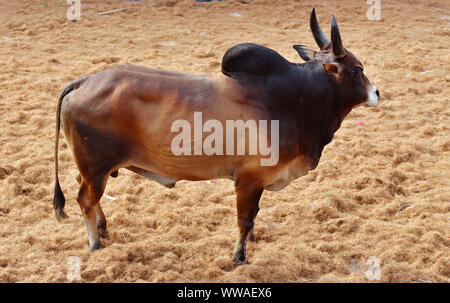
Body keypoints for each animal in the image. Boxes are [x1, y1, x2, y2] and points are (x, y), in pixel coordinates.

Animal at [55, 9, 380, 264]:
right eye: (357, 70)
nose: (376, 92)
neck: (294, 99)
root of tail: (86, 81)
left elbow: (254, 217)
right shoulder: (249, 180)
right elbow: (245, 220)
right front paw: (239, 257)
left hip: (95, 169)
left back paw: (103, 228)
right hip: (96, 169)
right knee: (84, 199)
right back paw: (95, 243)